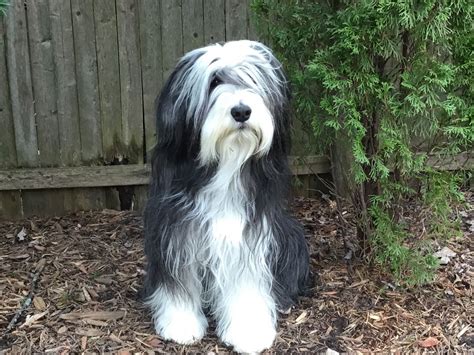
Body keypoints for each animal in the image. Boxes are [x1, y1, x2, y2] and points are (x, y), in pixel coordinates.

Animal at [143, 41, 310, 354]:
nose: (242, 110)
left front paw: (248, 330)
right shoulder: (176, 230)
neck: (226, 164)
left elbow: (246, 285)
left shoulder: (249, 236)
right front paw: (181, 324)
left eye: (253, 81)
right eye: (214, 82)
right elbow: (179, 282)